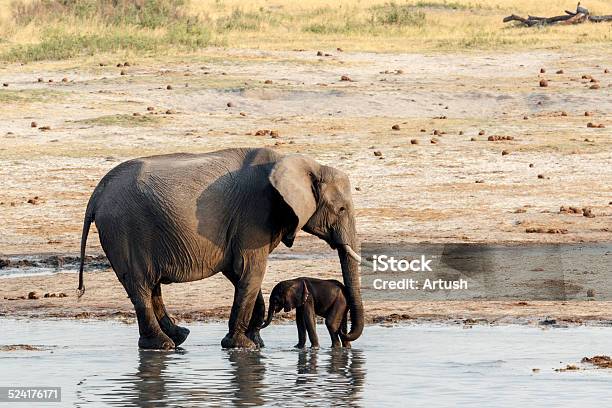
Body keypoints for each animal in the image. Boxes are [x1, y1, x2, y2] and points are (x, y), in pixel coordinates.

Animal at [76, 148, 364, 350]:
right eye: (341, 209)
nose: (345, 334)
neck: (296, 161)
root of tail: (96, 194)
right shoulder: (254, 214)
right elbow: (250, 270)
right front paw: (242, 346)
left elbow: (239, 273)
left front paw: (256, 343)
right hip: (124, 229)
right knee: (141, 286)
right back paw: (162, 345)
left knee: (150, 286)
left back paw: (179, 337)